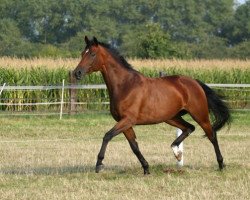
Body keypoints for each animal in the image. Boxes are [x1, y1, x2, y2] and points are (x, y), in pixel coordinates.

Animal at [73, 36, 230, 174]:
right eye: (82, 53)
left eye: (92, 54)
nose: (77, 73)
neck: (125, 86)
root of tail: (194, 82)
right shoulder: (125, 123)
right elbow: (134, 146)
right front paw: (146, 168)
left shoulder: (127, 120)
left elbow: (107, 136)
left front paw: (99, 164)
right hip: (171, 117)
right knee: (189, 128)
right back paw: (176, 152)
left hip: (200, 115)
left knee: (212, 135)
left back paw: (221, 165)